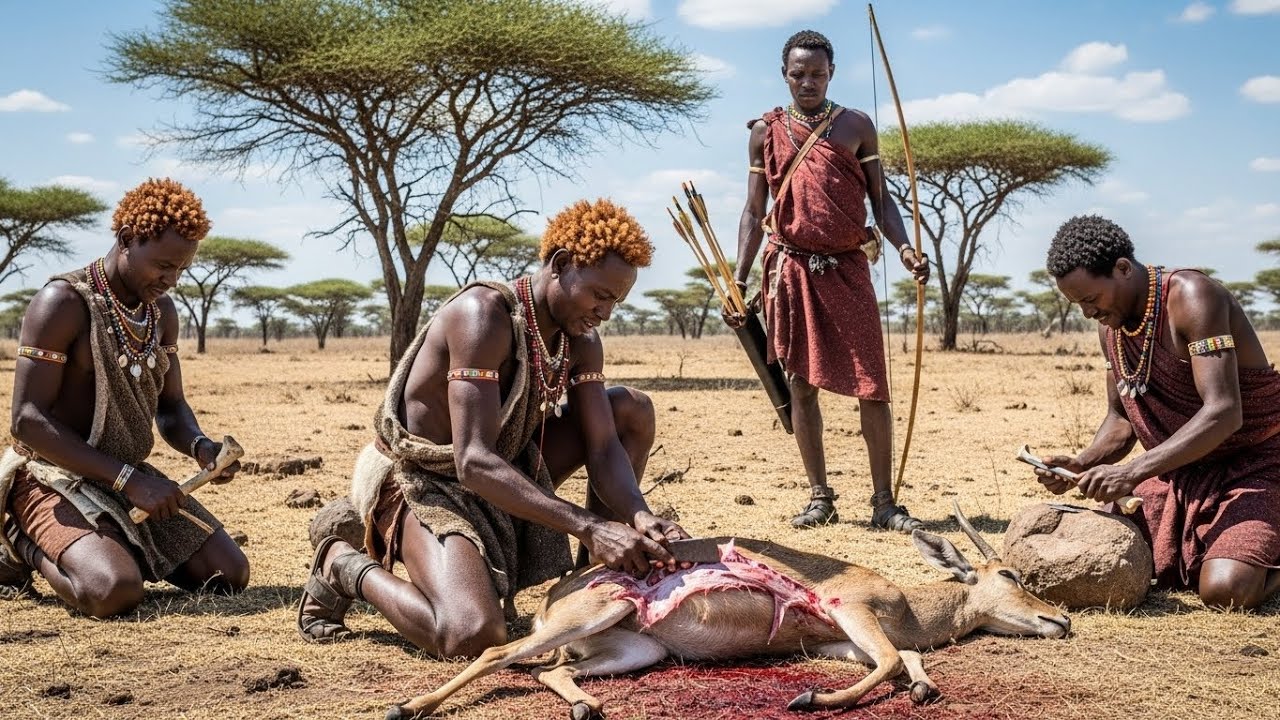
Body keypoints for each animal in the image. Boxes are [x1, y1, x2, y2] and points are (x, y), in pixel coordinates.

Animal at [387, 505, 1071, 719]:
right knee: (499, 652)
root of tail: (561, 590)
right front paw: (810, 699)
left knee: (553, 671)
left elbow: (902, 656)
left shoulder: (840, 640)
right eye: (1010, 574)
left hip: (636, 649)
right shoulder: (853, 611)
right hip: (586, 619)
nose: (1061, 620)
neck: (908, 602)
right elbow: (889, 661)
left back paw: (587, 708)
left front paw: (924, 689)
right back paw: (409, 707)